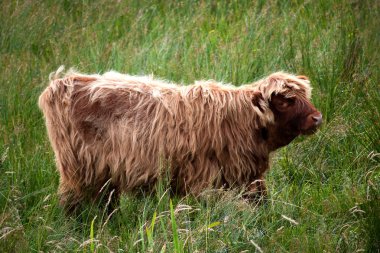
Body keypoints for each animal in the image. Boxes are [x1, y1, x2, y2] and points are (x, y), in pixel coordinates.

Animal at [38, 67, 322, 211]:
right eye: (285, 101)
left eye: (305, 96)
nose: (317, 118)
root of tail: (62, 82)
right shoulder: (202, 181)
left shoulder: (248, 178)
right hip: (79, 172)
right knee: (74, 204)